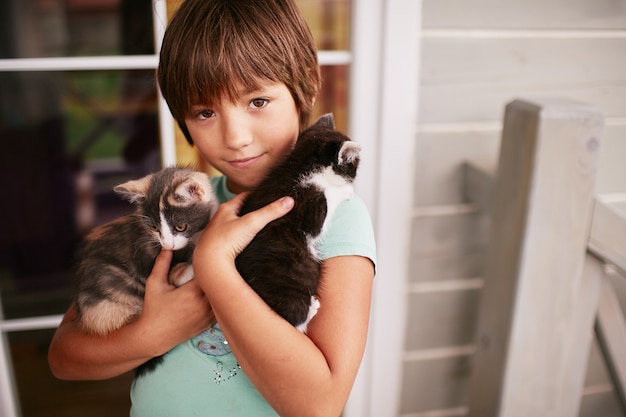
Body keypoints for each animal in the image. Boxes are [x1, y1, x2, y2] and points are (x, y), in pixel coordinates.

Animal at [235, 113, 360, 332]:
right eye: (354, 167)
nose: (356, 178)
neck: (299, 165)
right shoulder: (310, 205)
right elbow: (325, 206)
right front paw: (345, 191)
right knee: (293, 317)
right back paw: (312, 307)